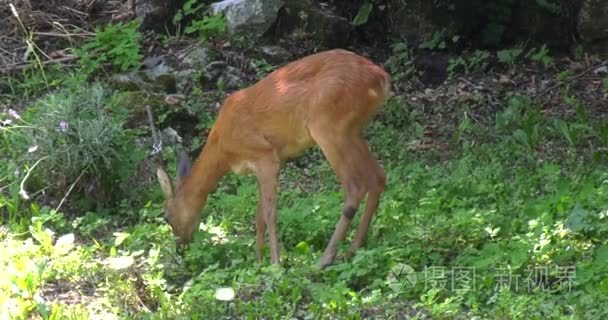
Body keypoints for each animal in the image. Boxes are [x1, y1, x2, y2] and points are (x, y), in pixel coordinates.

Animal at [157, 48, 390, 268]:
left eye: (167, 217)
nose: (181, 249)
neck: (222, 149)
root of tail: (381, 78)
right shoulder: (272, 159)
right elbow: (259, 215)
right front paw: (259, 261)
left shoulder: (265, 155)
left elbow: (270, 213)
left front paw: (275, 264)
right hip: (352, 129)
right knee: (378, 176)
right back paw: (353, 248)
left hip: (328, 125)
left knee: (355, 186)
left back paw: (324, 259)